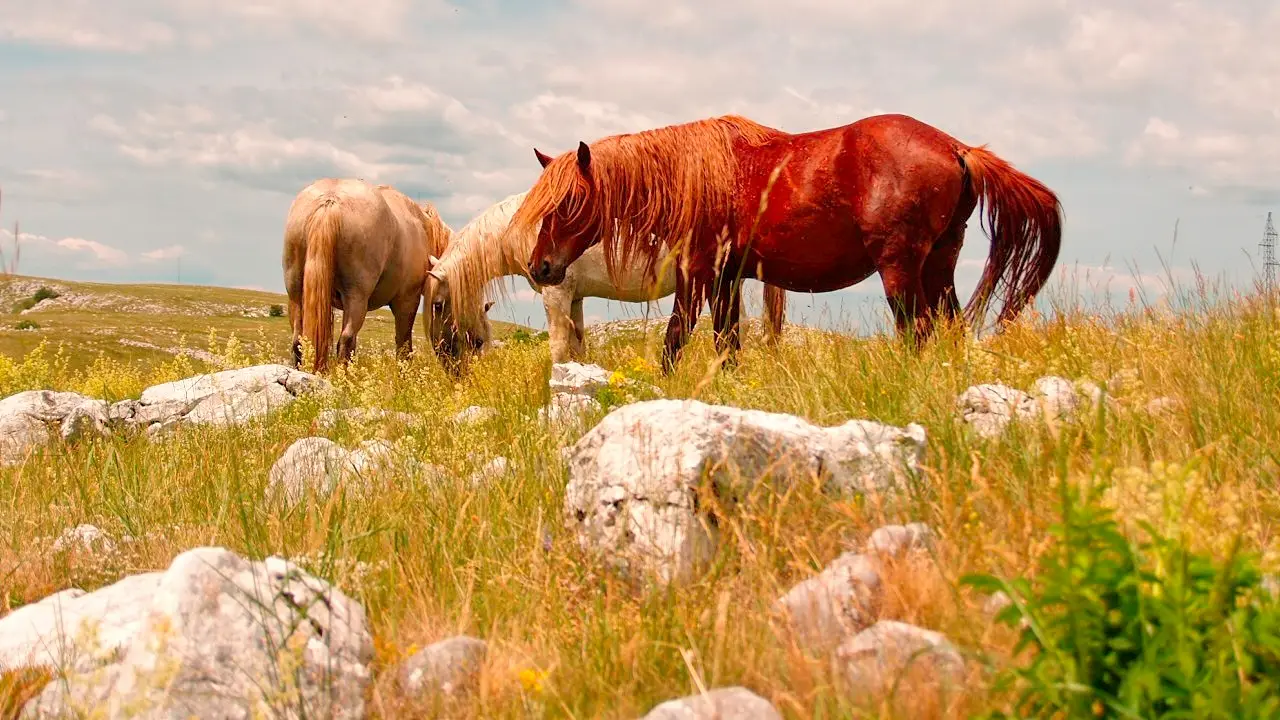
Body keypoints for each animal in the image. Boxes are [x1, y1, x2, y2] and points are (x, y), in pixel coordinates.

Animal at [282, 178, 453, 373]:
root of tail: (330, 200)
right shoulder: (407, 301)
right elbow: (403, 347)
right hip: (357, 298)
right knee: (345, 341)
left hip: (296, 295)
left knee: (298, 341)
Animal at [425, 190, 788, 365]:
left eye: (438, 305)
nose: (448, 364)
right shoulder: (574, 297)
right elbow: (576, 347)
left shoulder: (555, 294)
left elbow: (558, 347)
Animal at [514, 112, 1063, 374]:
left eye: (569, 200)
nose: (539, 267)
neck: (702, 176)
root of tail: (956, 147)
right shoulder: (728, 279)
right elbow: (727, 342)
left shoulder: (697, 273)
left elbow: (676, 338)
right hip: (939, 266)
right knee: (948, 329)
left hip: (901, 269)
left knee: (918, 332)